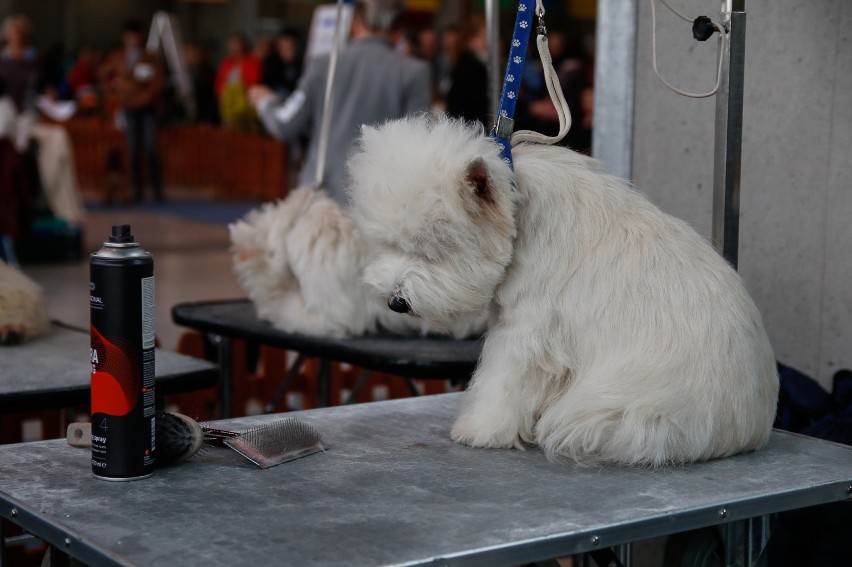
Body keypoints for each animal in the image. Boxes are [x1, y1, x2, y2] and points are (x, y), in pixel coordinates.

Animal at [346, 115, 780, 466]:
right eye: (386, 243)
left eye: (433, 249)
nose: (396, 302)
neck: (518, 213)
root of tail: (750, 428)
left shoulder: (527, 331)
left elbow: (501, 383)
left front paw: (479, 430)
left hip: (623, 414)